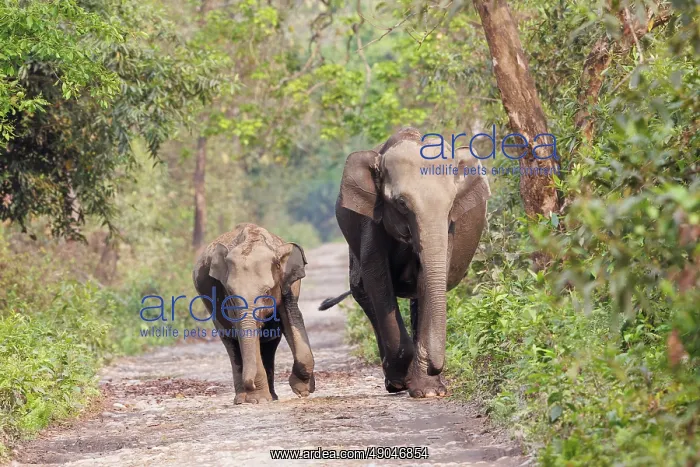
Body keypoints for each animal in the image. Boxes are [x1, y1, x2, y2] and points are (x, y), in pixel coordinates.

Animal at [193, 223, 315, 404]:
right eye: (230, 292)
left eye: (266, 292)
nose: (250, 385)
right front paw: (257, 400)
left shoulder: (287, 286)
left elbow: (292, 318)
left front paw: (303, 390)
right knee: (232, 343)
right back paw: (245, 398)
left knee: (270, 343)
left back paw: (270, 397)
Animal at [319, 127, 490, 398]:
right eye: (401, 203)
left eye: (451, 203)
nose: (435, 366)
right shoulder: (371, 219)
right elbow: (377, 279)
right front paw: (404, 379)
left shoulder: (448, 229)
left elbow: (427, 279)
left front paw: (429, 392)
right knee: (361, 290)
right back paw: (395, 380)